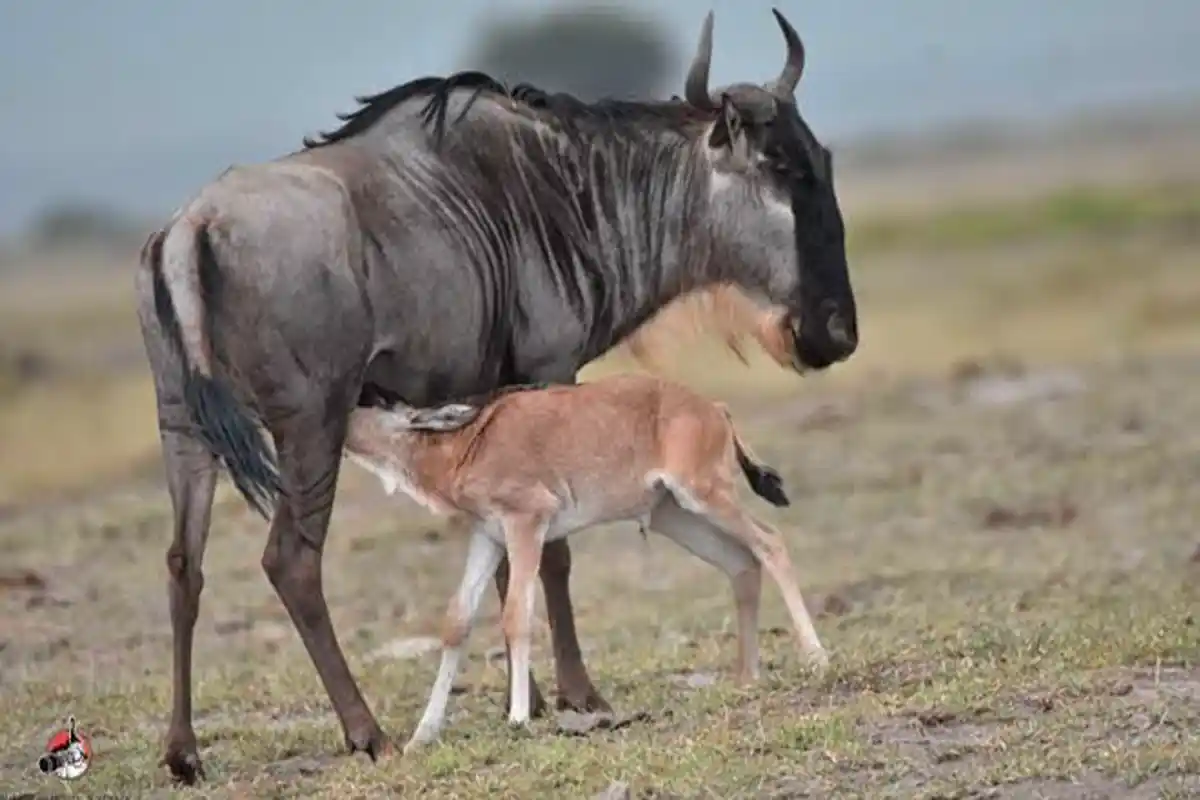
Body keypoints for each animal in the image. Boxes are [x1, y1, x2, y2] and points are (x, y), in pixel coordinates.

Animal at [344, 373, 830, 752]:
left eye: (369, 397)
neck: (463, 444)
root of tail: (713, 407)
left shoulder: (526, 523)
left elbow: (516, 615)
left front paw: (518, 717)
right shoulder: (488, 536)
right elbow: (456, 623)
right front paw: (422, 734)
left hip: (705, 496)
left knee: (771, 544)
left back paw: (815, 657)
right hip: (675, 515)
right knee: (741, 563)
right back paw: (747, 675)